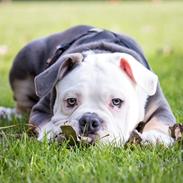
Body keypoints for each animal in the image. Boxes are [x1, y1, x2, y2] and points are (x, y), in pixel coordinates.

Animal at [0, 25, 177, 146]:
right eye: (71, 101)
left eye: (116, 102)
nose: (90, 120)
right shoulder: (41, 108)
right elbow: (44, 121)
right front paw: (53, 132)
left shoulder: (158, 105)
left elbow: (161, 119)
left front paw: (156, 137)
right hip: (24, 61)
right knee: (21, 107)